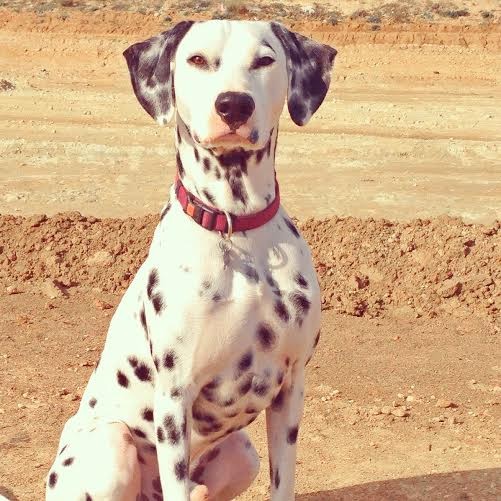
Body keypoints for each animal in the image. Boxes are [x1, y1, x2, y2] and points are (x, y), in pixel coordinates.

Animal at [47, 19, 336, 500]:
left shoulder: (291, 388)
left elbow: (283, 483)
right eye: (197, 59)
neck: (236, 230)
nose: (233, 104)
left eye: (265, 59)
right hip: (112, 444)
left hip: (242, 452)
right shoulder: (174, 399)